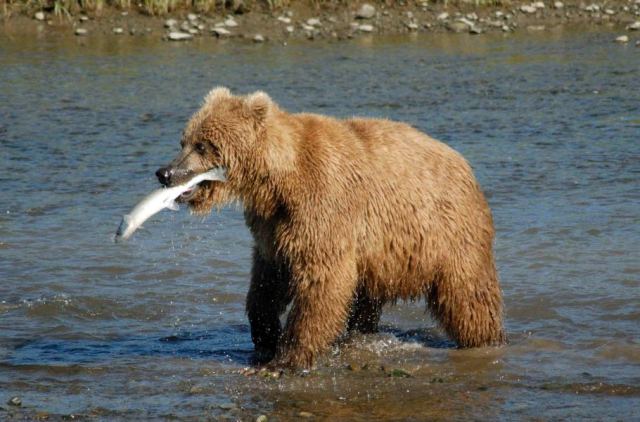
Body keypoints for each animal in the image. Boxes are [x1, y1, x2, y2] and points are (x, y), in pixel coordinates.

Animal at [155, 87, 506, 369]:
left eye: (203, 145)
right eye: (184, 140)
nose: (165, 173)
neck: (275, 182)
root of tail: (464, 165)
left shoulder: (323, 205)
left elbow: (321, 280)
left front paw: (287, 357)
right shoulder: (272, 226)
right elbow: (268, 280)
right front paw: (266, 336)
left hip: (447, 231)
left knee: (467, 294)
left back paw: (485, 339)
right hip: (381, 257)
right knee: (366, 299)